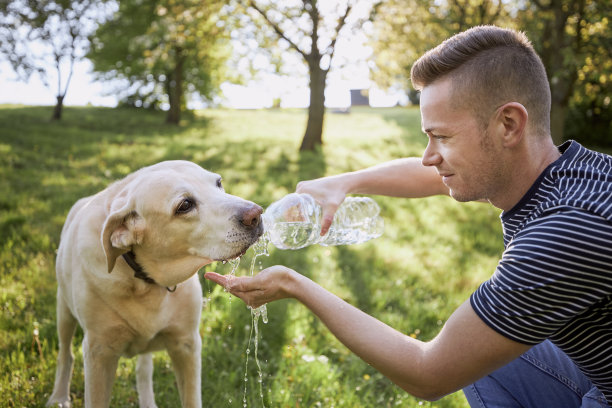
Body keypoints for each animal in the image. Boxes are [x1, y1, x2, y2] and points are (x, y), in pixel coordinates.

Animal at [47, 161, 262, 406]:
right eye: (185, 205)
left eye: (219, 183)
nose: (256, 214)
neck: (144, 281)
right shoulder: (98, 352)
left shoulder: (186, 345)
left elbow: (190, 398)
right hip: (64, 311)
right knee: (65, 353)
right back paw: (58, 396)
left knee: (143, 369)